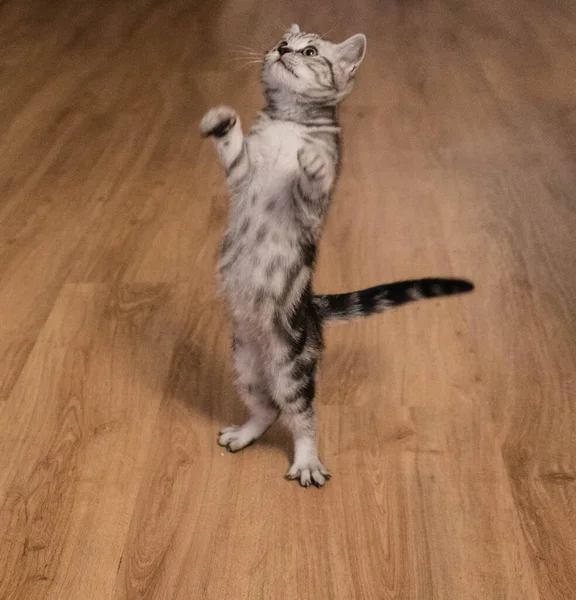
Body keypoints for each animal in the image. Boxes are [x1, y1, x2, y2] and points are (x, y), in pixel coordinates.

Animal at [201, 24, 472, 488]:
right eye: (281, 41)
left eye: (310, 51)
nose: (282, 50)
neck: (290, 121)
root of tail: (312, 307)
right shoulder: (241, 174)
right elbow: (235, 150)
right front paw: (221, 120)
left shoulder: (312, 208)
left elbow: (313, 180)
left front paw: (311, 162)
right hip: (247, 364)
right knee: (268, 408)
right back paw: (246, 432)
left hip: (292, 365)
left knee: (302, 414)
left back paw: (307, 460)